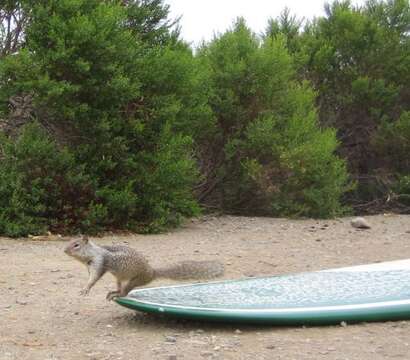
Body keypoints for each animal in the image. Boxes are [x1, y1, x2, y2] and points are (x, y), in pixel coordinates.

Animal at [64, 236, 224, 300]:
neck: (93, 253)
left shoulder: (99, 262)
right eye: (70, 241)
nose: (64, 250)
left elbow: (95, 277)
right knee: (120, 288)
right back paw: (114, 291)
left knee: (126, 292)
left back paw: (118, 295)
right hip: (119, 278)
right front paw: (85, 287)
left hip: (135, 280)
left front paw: (86, 288)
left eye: (76, 245)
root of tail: (152, 273)